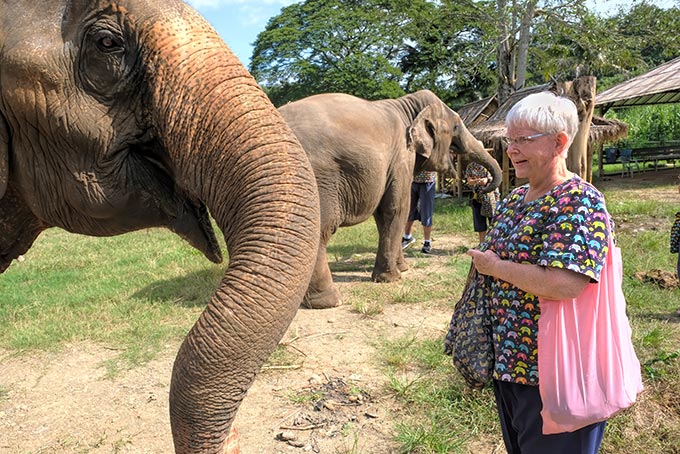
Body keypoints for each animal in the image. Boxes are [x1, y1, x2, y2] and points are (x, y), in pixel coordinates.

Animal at [278, 89, 502, 308]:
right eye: (455, 126)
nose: (482, 186)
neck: (408, 105)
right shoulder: (402, 157)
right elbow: (396, 209)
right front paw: (392, 278)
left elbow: (384, 215)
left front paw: (403, 268)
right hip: (318, 179)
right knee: (319, 230)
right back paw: (330, 301)